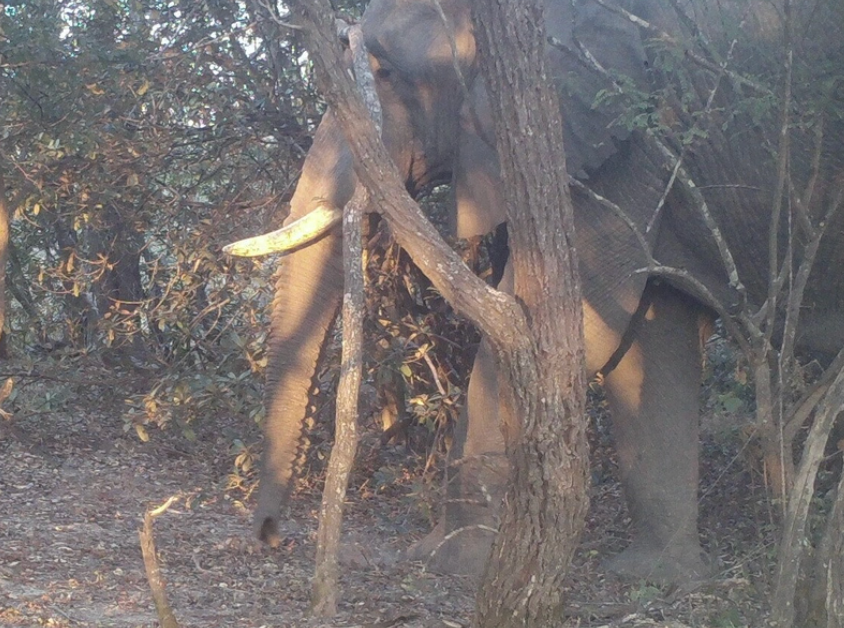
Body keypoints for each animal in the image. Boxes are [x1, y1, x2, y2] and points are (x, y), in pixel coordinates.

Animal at [227, 0, 844, 584]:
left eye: (384, 73)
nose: (268, 535)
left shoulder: (620, 140)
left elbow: (575, 330)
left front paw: (450, 562)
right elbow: (651, 343)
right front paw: (659, 579)